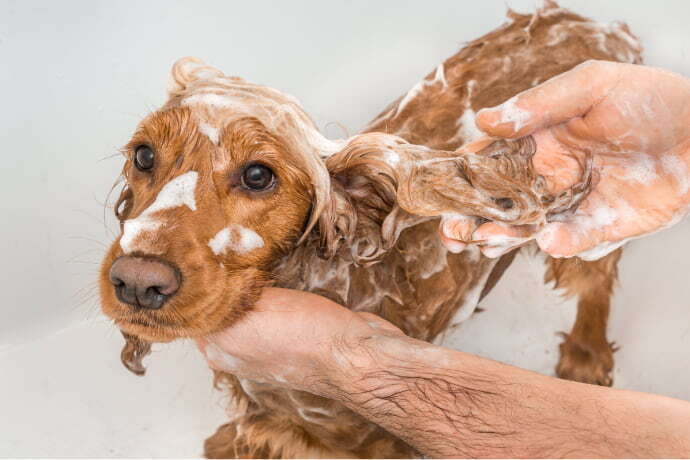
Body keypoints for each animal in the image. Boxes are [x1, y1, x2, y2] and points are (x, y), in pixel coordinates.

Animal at [99, 2, 644, 456]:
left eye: (257, 175)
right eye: (143, 156)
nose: (139, 283)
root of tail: (594, 22)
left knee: (596, 280)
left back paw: (586, 357)